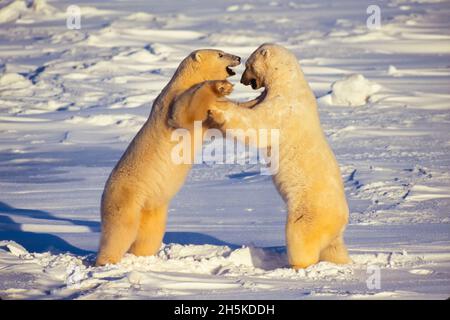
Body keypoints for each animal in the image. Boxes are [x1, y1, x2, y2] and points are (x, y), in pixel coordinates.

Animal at [96, 48, 241, 266]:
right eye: (221, 54)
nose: (239, 57)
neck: (184, 81)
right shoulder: (170, 101)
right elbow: (184, 111)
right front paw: (220, 86)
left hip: (153, 208)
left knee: (150, 235)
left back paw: (144, 257)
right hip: (126, 197)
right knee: (120, 230)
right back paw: (106, 262)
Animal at [207, 43, 352, 268]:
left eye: (248, 65)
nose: (243, 80)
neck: (288, 82)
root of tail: (341, 220)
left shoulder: (283, 108)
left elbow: (258, 125)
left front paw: (217, 109)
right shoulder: (266, 97)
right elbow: (250, 106)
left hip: (310, 211)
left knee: (300, 235)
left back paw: (296, 265)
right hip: (332, 233)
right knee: (334, 249)